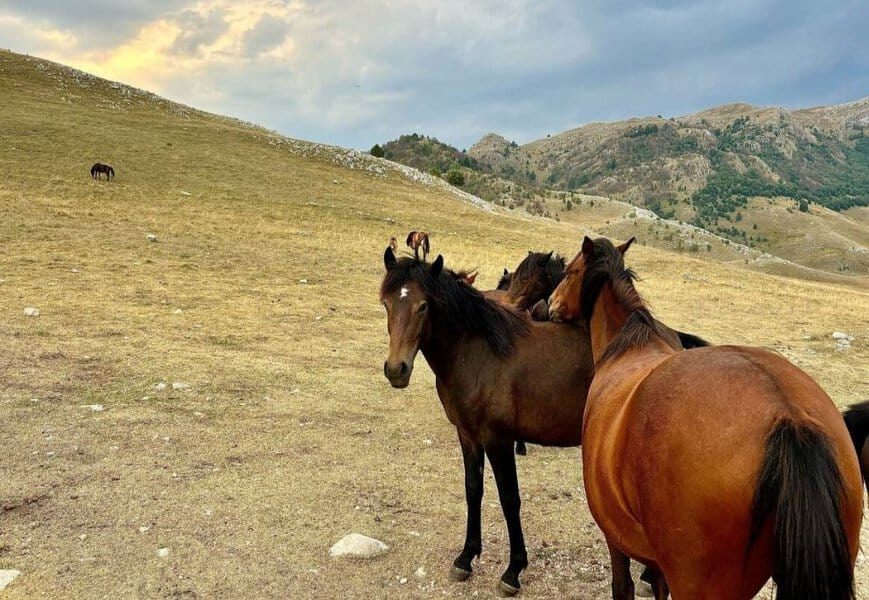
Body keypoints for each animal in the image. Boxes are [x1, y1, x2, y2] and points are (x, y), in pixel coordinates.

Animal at [544, 236, 856, 600]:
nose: (550, 304)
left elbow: (623, 587)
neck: (628, 346)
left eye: (569, 271)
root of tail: (789, 416)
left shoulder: (615, 537)